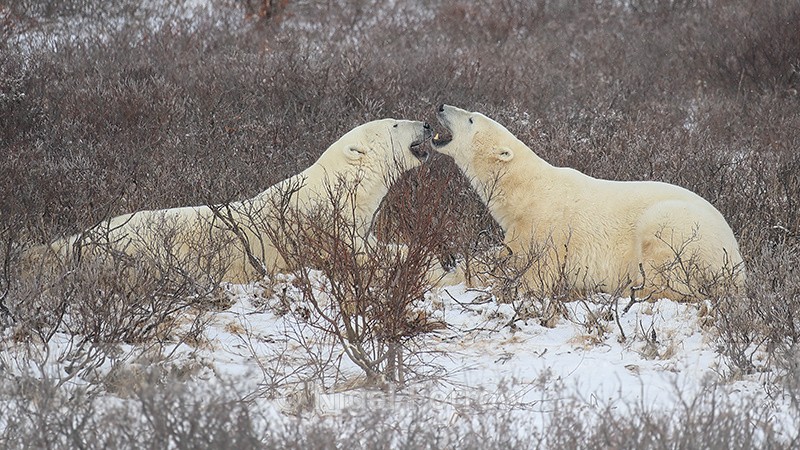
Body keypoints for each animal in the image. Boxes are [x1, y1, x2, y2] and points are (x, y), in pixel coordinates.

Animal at [34, 119, 432, 284]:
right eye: (395, 124)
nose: (428, 124)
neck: (337, 189)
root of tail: (76, 241)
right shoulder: (317, 229)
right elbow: (362, 257)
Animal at [431, 104, 744, 301]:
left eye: (471, 119)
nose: (442, 106)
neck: (527, 192)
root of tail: (738, 264)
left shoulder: (547, 229)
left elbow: (535, 273)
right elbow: (494, 257)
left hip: (682, 228)